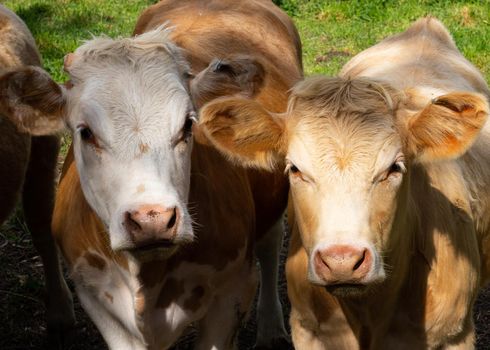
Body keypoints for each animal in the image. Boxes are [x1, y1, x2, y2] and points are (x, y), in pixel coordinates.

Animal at [0, 1, 302, 348]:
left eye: (188, 125)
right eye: (85, 132)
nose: (152, 219)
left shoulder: (233, 290)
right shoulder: (98, 298)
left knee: (270, 244)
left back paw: (271, 328)